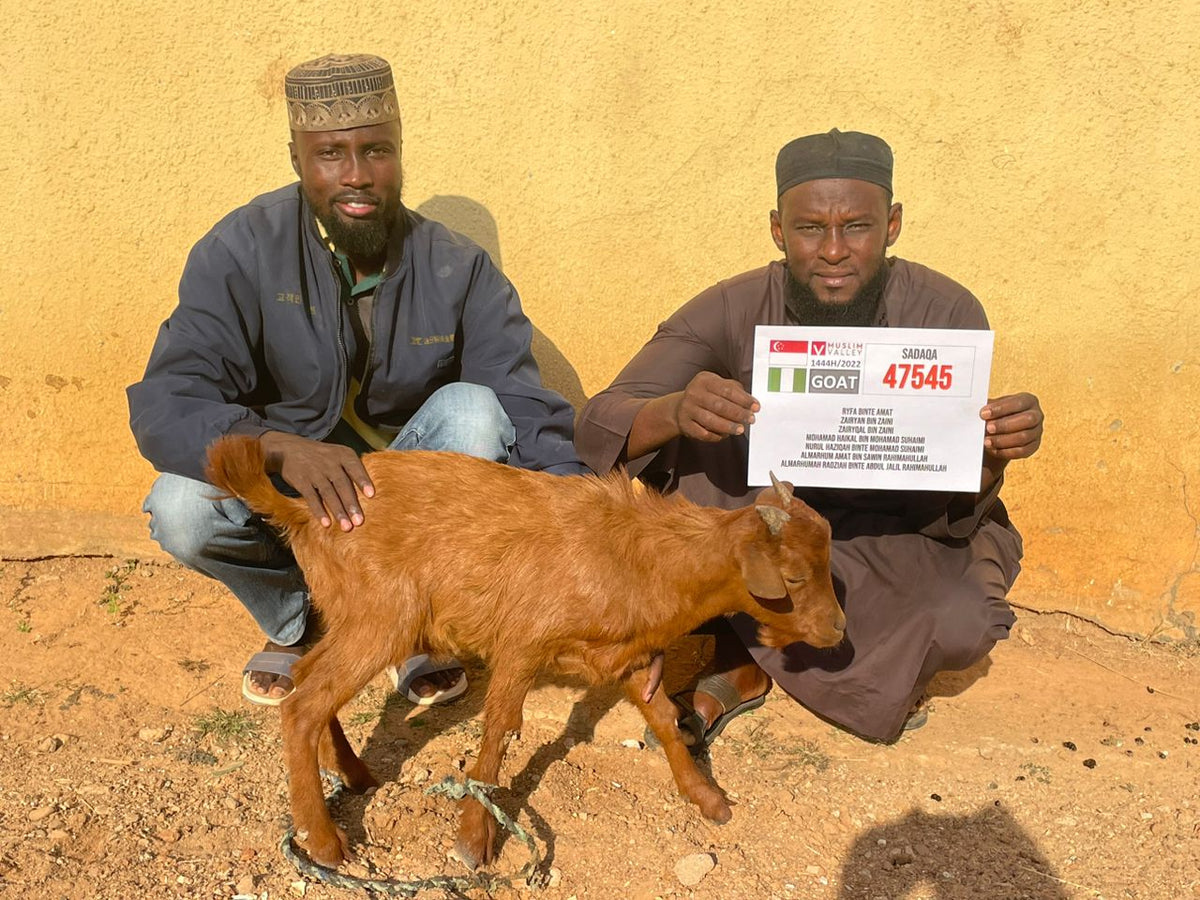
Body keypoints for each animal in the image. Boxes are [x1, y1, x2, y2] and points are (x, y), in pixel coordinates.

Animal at [205, 435, 845, 869]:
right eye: (793, 576)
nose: (837, 632)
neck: (637, 556)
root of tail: (304, 511)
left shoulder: (628, 658)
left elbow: (664, 719)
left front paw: (707, 798)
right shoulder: (521, 644)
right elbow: (498, 732)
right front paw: (472, 839)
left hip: (352, 618)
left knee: (310, 678)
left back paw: (357, 776)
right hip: (380, 620)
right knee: (304, 704)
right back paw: (325, 843)